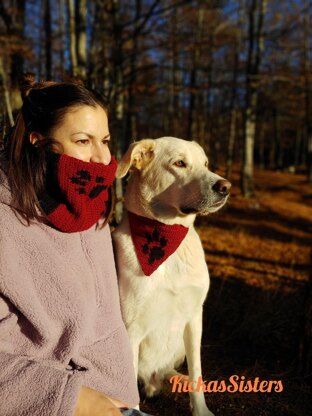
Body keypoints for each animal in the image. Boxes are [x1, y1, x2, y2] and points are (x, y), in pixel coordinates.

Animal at [113, 138, 230, 416]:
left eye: (205, 163)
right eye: (179, 163)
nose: (225, 186)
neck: (166, 236)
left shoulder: (195, 317)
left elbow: (197, 371)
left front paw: (201, 409)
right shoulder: (131, 328)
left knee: (167, 371)